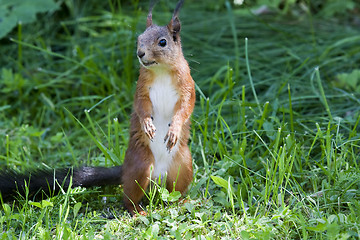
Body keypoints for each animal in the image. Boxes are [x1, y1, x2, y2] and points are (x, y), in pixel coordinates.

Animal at [0, 0, 194, 217]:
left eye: (162, 42)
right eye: (139, 39)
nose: (140, 53)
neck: (161, 71)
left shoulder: (187, 85)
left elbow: (186, 107)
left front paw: (175, 129)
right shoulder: (142, 88)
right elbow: (141, 106)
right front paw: (147, 125)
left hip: (183, 166)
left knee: (174, 191)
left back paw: (181, 201)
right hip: (141, 165)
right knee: (128, 196)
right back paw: (137, 210)